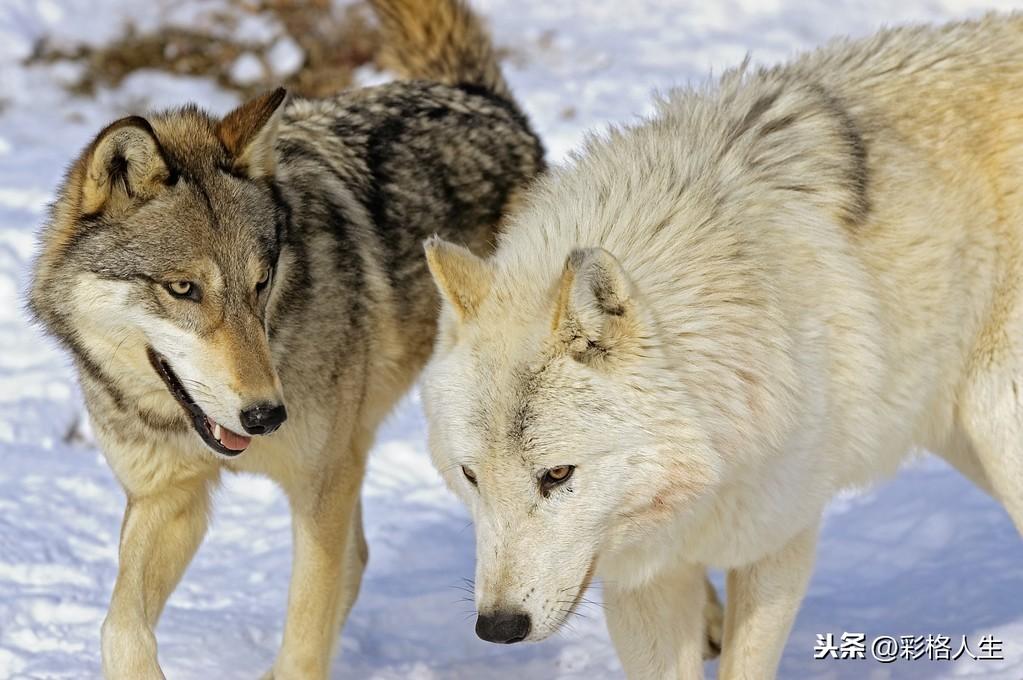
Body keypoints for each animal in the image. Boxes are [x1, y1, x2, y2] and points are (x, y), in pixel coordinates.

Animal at [24, 2, 544, 674]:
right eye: (184, 288)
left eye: (261, 282)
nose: (267, 415)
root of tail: (482, 99)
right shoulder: (168, 499)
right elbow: (119, 627)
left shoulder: (319, 489)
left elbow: (305, 636)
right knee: (360, 557)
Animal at [419, 11, 1023, 678]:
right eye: (470, 475)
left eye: (557, 474)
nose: (498, 627)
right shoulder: (644, 579)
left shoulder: (778, 539)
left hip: (999, 431)